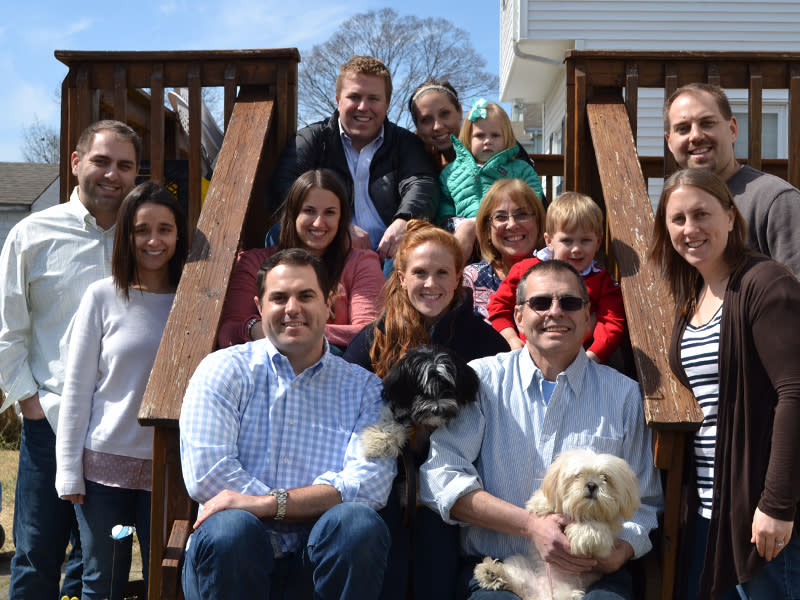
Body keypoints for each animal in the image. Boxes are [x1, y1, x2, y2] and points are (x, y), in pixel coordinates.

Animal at [472, 448, 640, 596]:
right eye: (578, 475)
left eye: (605, 477)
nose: (592, 485)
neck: (583, 511)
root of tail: (541, 594)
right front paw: (541, 503)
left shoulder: (605, 541)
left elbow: (595, 529)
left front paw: (583, 533)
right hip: (521, 566)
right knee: (516, 582)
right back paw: (490, 572)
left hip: (566, 593)